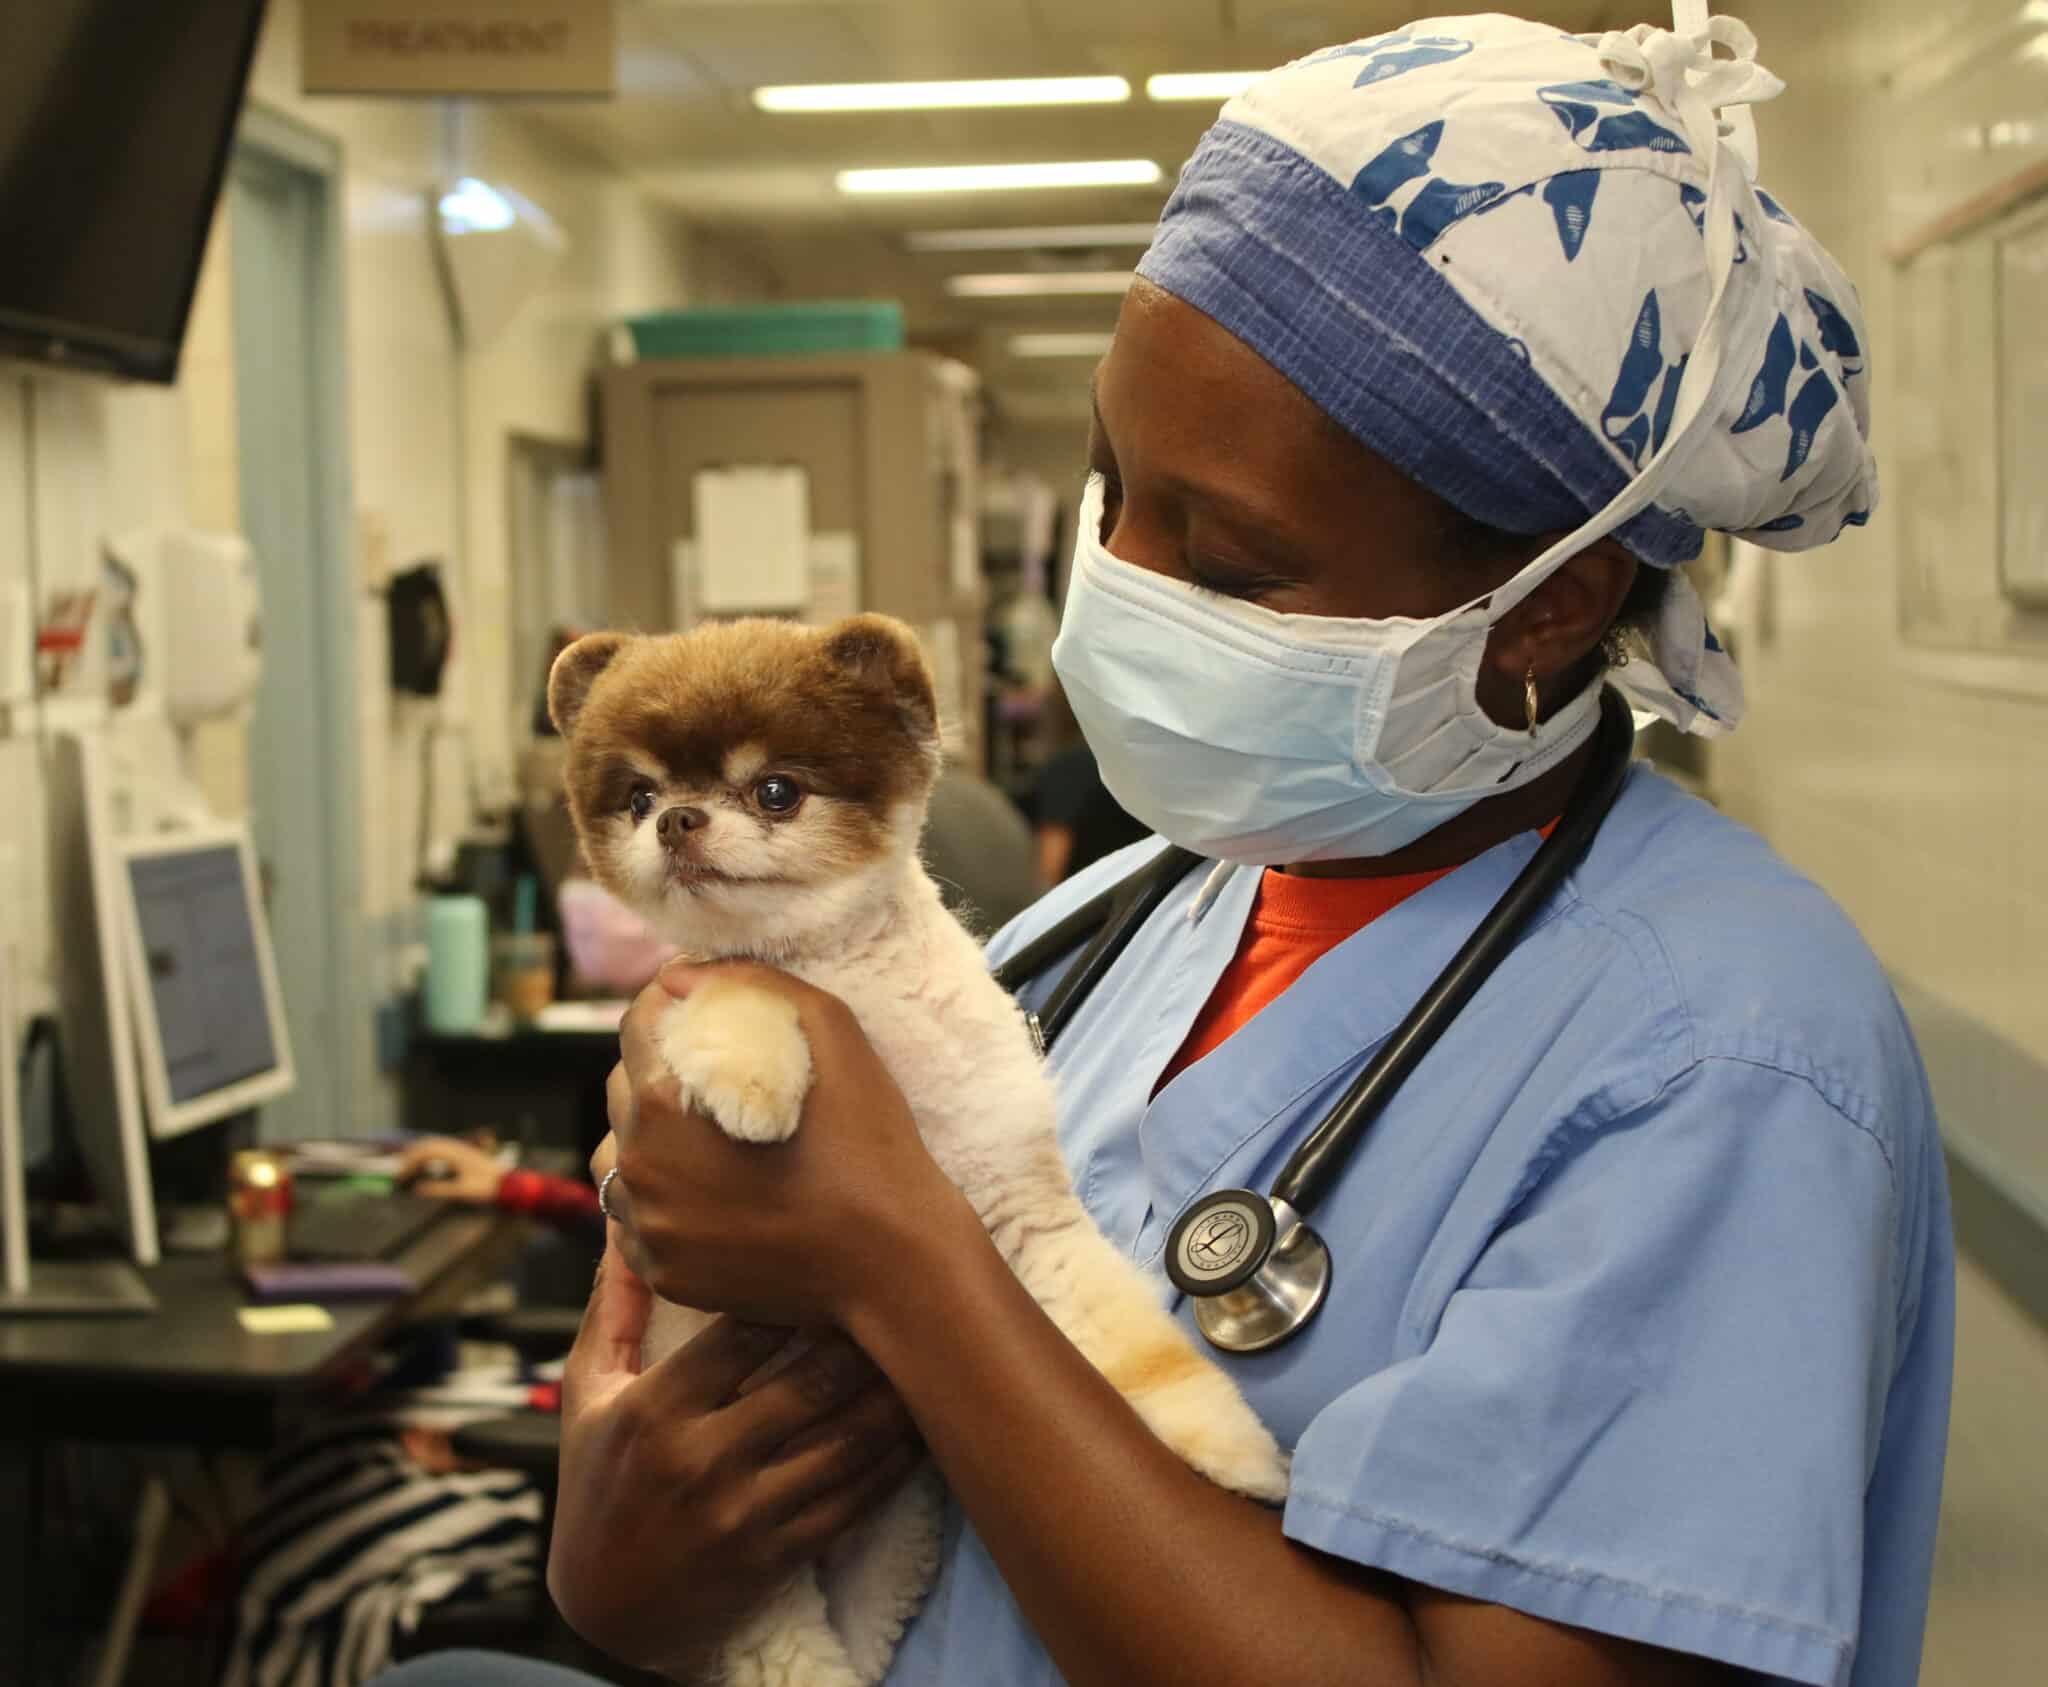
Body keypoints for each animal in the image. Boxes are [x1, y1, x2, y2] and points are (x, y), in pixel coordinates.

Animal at [544, 614, 1277, 1687]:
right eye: (636, 796)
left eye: (776, 790)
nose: (675, 820)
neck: (846, 978)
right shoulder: (700, 989)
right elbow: (740, 988)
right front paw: (758, 1084)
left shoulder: (1022, 1212)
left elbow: (1135, 1347)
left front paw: (1229, 1443)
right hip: (737, 1560)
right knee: (781, 1649)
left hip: (892, 1549)